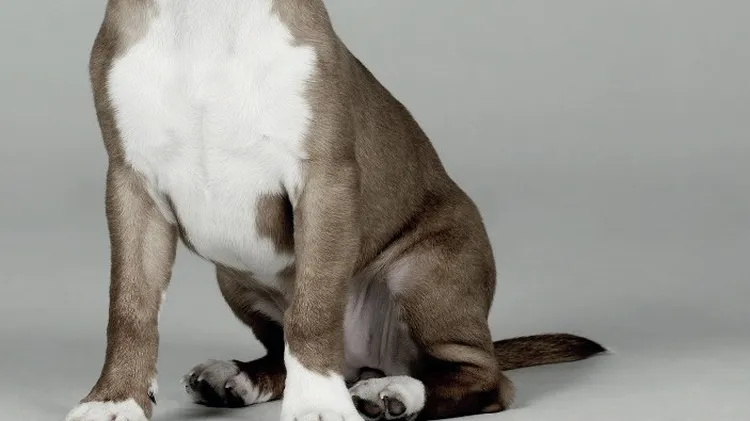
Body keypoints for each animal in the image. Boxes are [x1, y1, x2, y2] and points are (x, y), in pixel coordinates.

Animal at [64, 1, 605, 420]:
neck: (207, 17)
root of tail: (366, 361)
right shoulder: (131, 186)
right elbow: (130, 307)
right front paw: (116, 399)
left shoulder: (324, 184)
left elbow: (315, 310)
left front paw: (317, 405)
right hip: (233, 278)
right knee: (281, 350)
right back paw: (240, 378)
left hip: (426, 272)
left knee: (482, 377)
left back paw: (393, 391)